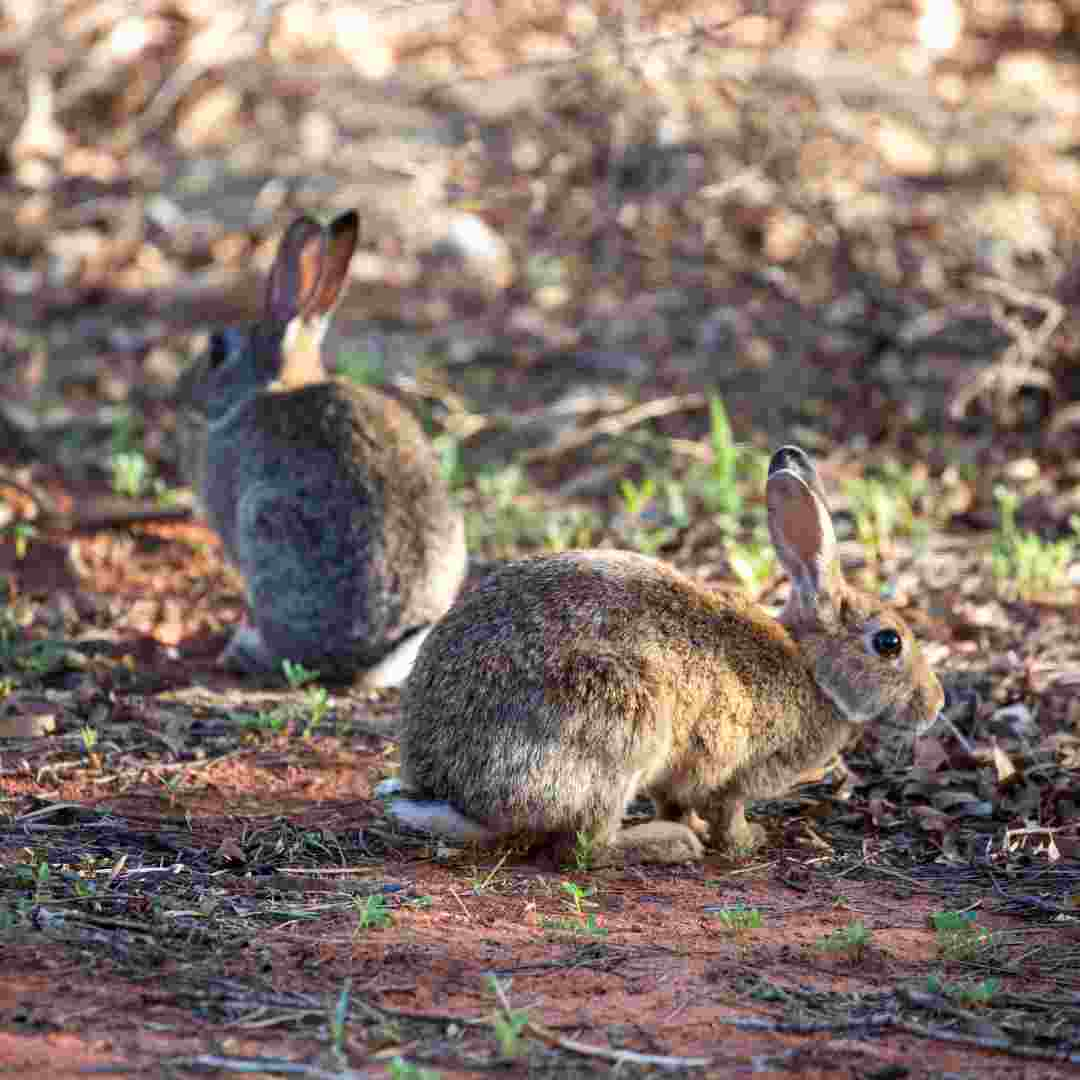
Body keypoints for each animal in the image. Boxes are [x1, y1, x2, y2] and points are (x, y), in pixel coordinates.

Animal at [390, 442, 946, 864]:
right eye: (889, 643)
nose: (936, 703)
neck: (812, 671)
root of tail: (455, 794)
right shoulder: (738, 770)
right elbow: (728, 810)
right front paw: (745, 841)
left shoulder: (679, 774)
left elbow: (675, 800)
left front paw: (697, 826)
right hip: (619, 721)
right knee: (585, 847)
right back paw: (670, 845)